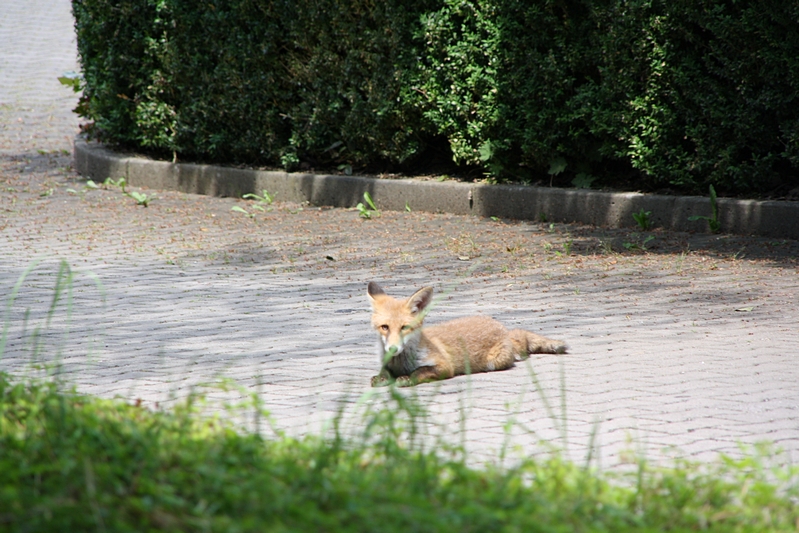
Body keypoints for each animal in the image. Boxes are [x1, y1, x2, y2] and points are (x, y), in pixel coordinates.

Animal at [367, 282, 567, 387]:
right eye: (385, 327)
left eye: (404, 327)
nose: (393, 349)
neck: (401, 363)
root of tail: (502, 327)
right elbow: (383, 373)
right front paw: (382, 378)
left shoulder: (444, 366)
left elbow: (420, 372)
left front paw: (406, 378)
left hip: (493, 363)